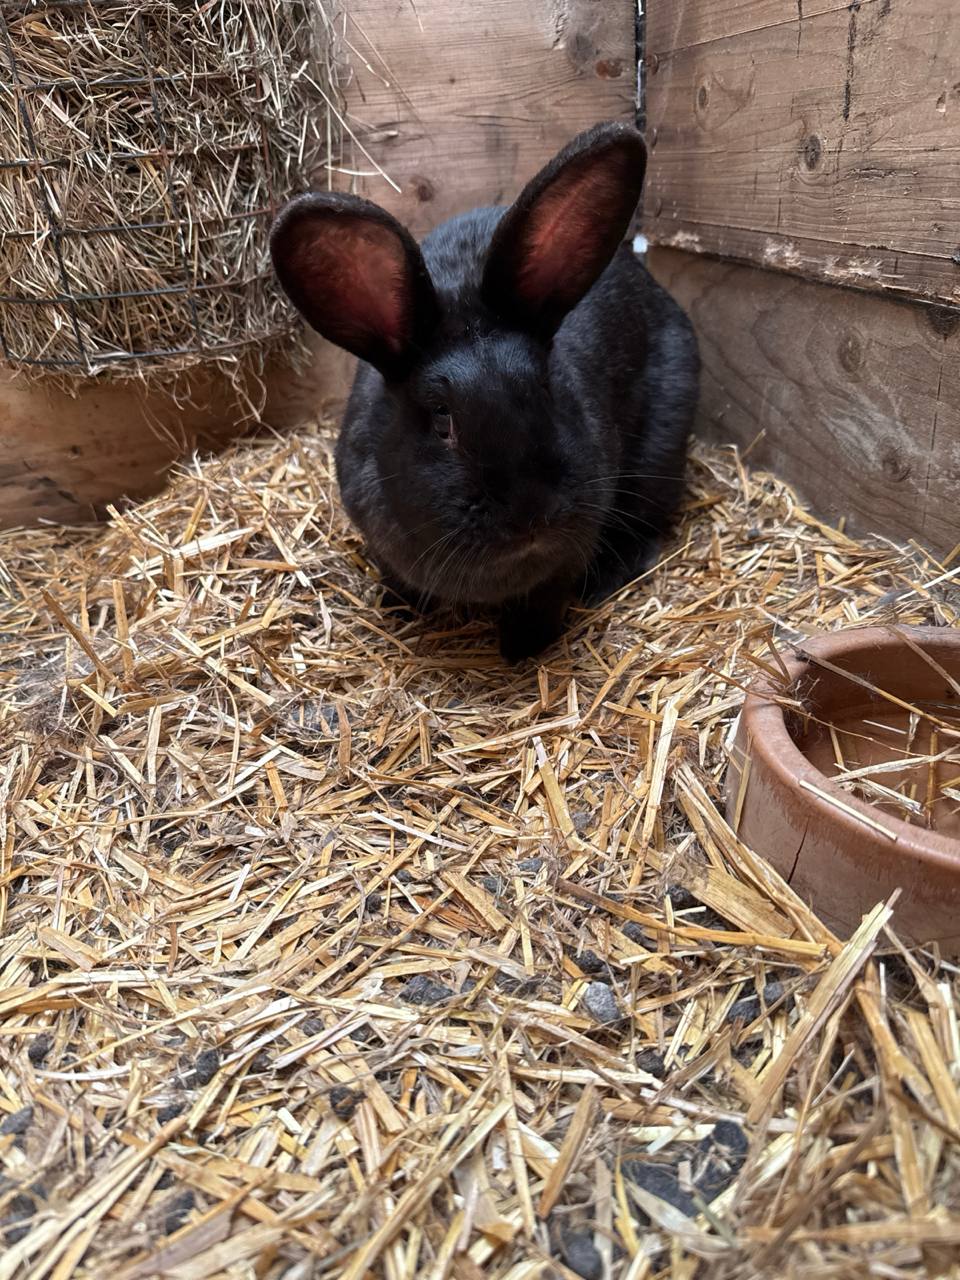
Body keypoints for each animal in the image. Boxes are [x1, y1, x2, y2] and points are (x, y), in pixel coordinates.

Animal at [270, 121, 699, 661]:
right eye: (441, 416)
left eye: (546, 387)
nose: (531, 514)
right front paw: (399, 612)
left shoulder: (560, 565)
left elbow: (542, 603)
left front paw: (521, 653)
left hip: (659, 452)